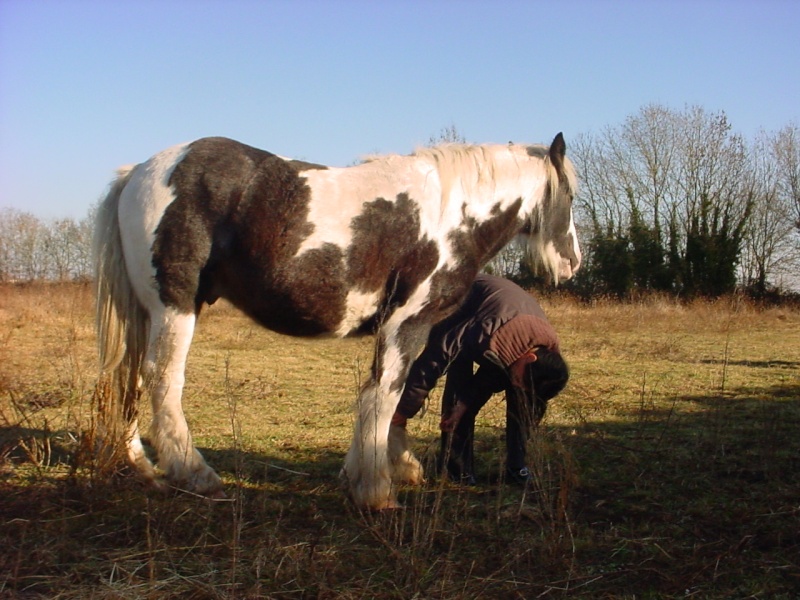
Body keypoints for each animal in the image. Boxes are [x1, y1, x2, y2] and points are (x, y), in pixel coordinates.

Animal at [95, 134, 580, 508]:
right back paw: (195, 473)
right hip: (173, 306)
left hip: (145, 313)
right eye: (572, 196)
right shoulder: (407, 323)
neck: (452, 217)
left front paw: (379, 469)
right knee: (162, 379)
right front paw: (376, 490)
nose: (572, 263)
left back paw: (141, 465)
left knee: (129, 377)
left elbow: (394, 395)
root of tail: (138, 172)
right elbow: (384, 396)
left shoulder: (427, 330)